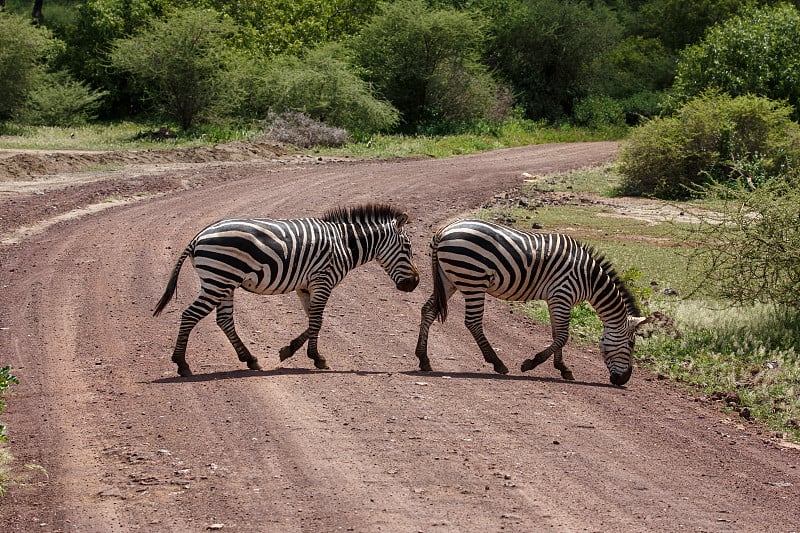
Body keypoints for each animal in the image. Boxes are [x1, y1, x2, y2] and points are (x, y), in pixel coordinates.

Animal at [152, 202, 422, 376]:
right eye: (408, 247)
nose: (415, 284)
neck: (344, 244)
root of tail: (198, 236)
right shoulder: (323, 280)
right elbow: (317, 321)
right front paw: (317, 358)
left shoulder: (306, 286)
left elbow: (313, 320)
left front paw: (288, 351)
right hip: (218, 280)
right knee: (190, 315)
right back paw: (182, 364)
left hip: (224, 282)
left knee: (224, 320)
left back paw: (250, 360)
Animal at [412, 218, 648, 384]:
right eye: (631, 344)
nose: (623, 380)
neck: (589, 278)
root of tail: (443, 231)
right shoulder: (562, 294)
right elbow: (562, 336)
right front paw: (531, 364)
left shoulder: (556, 299)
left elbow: (556, 334)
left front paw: (562, 368)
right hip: (473, 279)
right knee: (473, 322)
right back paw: (497, 363)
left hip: (448, 279)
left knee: (428, 310)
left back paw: (423, 359)